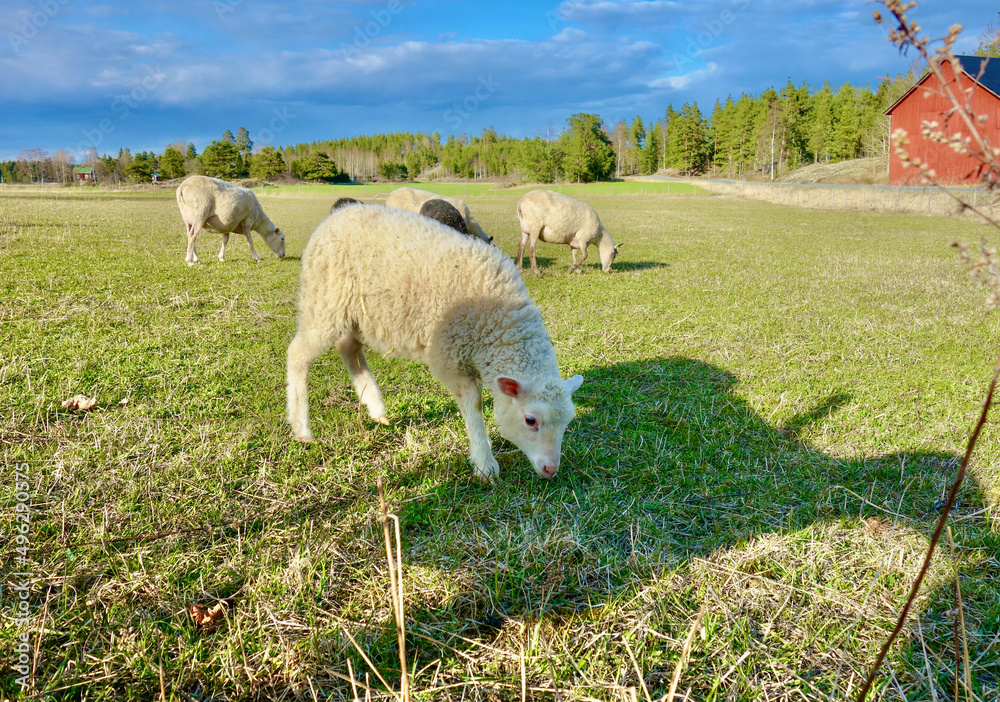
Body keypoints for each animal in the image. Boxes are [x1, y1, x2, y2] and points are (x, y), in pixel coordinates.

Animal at [286, 205, 584, 481]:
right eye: (530, 420)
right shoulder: (450, 356)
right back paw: (302, 429)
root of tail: (336, 215)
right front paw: (484, 462)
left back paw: (376, 409)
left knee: (349, 350)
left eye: (568, 421)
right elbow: (474, 405)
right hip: (325, 299)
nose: (551, 469)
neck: (497, 322)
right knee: (298, 354)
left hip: (358, 315)